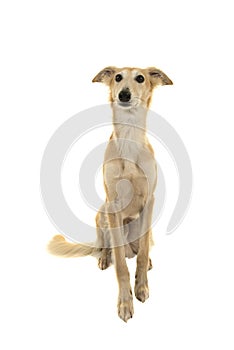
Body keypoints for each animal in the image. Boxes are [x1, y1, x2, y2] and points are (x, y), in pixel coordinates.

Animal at [48, 66, 172, 322]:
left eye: (140, 78)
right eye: (117, 77)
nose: (123, 94)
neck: (129, 137)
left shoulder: (150, 201)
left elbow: (141, 256)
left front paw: (142, 287)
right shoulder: (113, 204)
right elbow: (122, 267)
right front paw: (125, 303)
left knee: (142, 247)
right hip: (102, 213)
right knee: (105, 245)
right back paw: (105, 257)